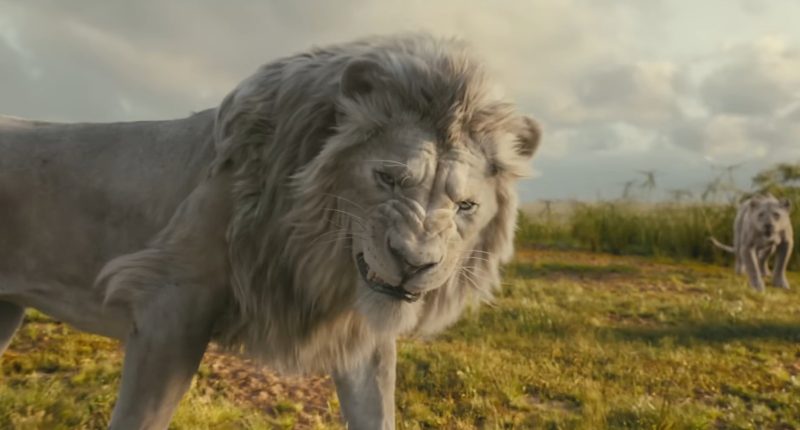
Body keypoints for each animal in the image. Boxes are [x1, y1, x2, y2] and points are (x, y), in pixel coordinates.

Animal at [0, 34, 541, 429]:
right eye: (387, 178)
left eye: (466, 205)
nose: (413, 263)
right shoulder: (168, 300)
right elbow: (141, 417)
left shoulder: (361, 339)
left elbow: (377, 412)